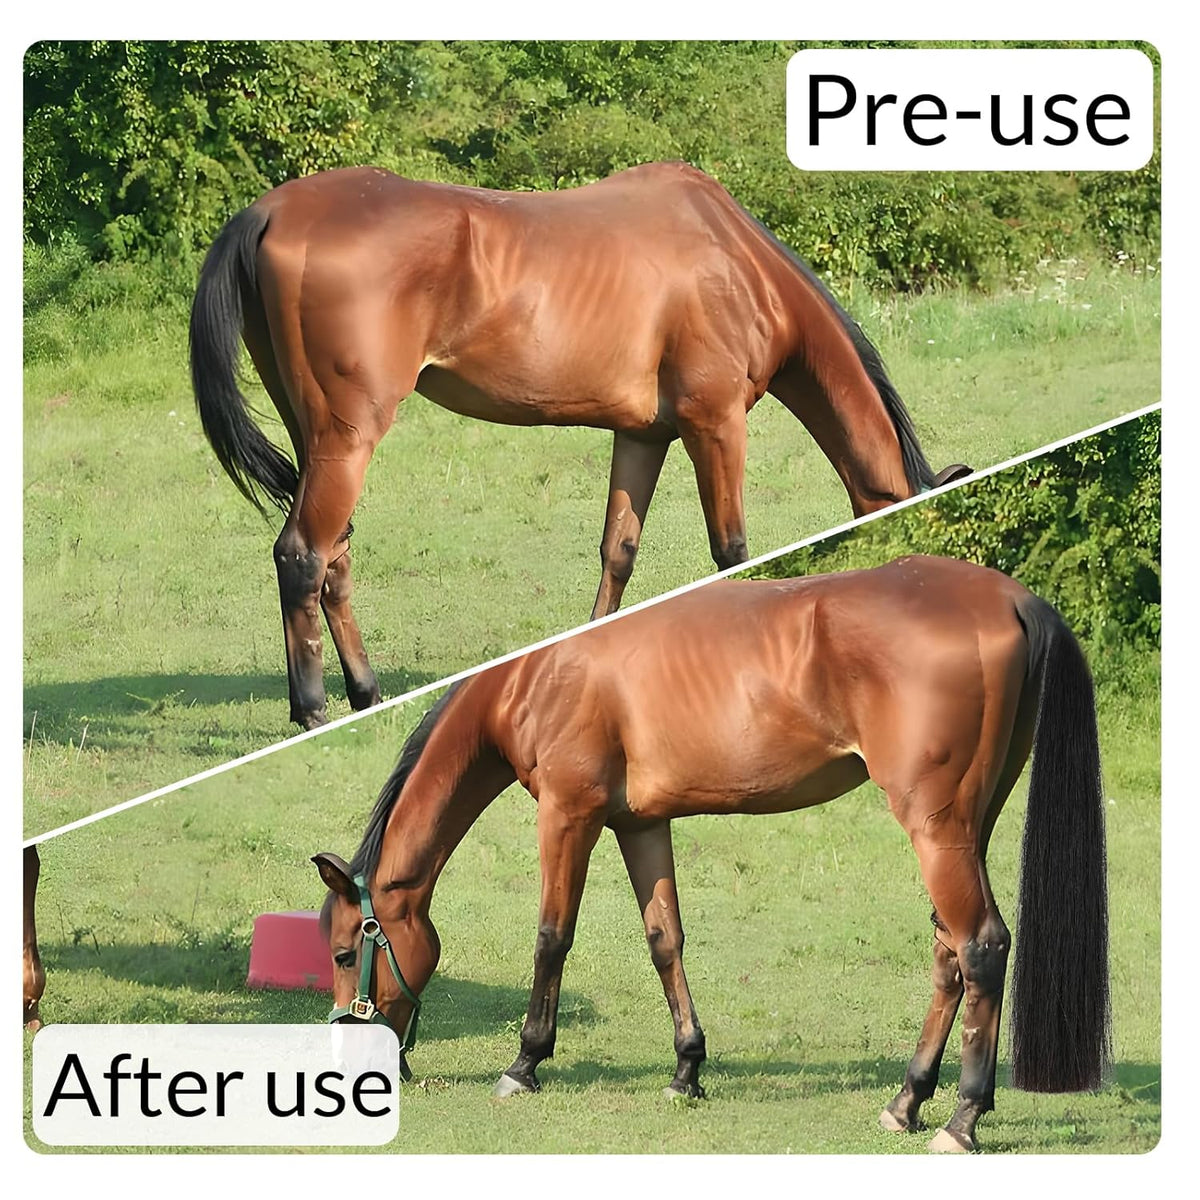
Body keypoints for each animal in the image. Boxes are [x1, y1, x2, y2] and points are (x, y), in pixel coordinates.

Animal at [190, 161, 971, 730]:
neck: (734, 261)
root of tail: (270, 212)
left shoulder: (643, 435)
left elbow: (618, 552)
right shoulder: (715, 424)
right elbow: (731, 551)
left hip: (318, 438)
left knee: (336, 557)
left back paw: (367, 692)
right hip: (349, 438)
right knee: (302, 555)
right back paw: (313, 710)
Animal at [312, 555, 1109, 1154]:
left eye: (347, 952)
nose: (352, 1067)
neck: (538, 673)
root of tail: (1010, 598)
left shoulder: (568, 815)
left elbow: (551, 937)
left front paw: (525, 1063)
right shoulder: (639, 823)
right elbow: (665, 939)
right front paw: (686, 1070)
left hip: (935, 826)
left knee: (980, 947)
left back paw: (962, 1119)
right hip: (967, 824)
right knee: (949, 953)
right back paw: (906, 1101)